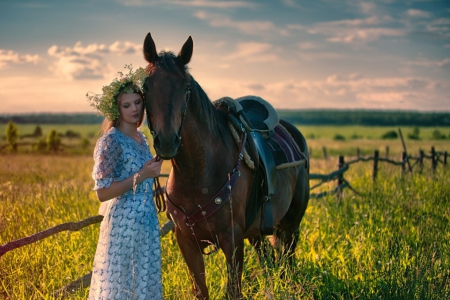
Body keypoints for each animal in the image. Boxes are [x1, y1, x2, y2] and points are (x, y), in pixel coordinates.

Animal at [143, 32, 310, 300]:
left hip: (291, 224)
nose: (167, 141)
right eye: (145, 86)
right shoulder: (186, 240)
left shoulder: (232, 239)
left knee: (287, 263)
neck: (198, 175)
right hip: (257, 231)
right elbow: (200, 291)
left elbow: (233, 291)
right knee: (268, 259)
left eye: (186, 88)